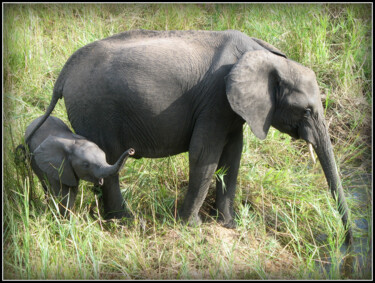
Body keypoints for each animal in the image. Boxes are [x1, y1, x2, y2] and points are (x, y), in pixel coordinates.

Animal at [27, 30, 354, 245]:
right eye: (306, 110)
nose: (348, 242)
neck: (266, 55)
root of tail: (63, 74)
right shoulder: (215, 99)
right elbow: (204, 154)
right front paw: (191, 225)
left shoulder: (230, 108)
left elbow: (233, 155)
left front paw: (228, 225)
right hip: (95, 110)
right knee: (106, 161)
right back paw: (124, 220)